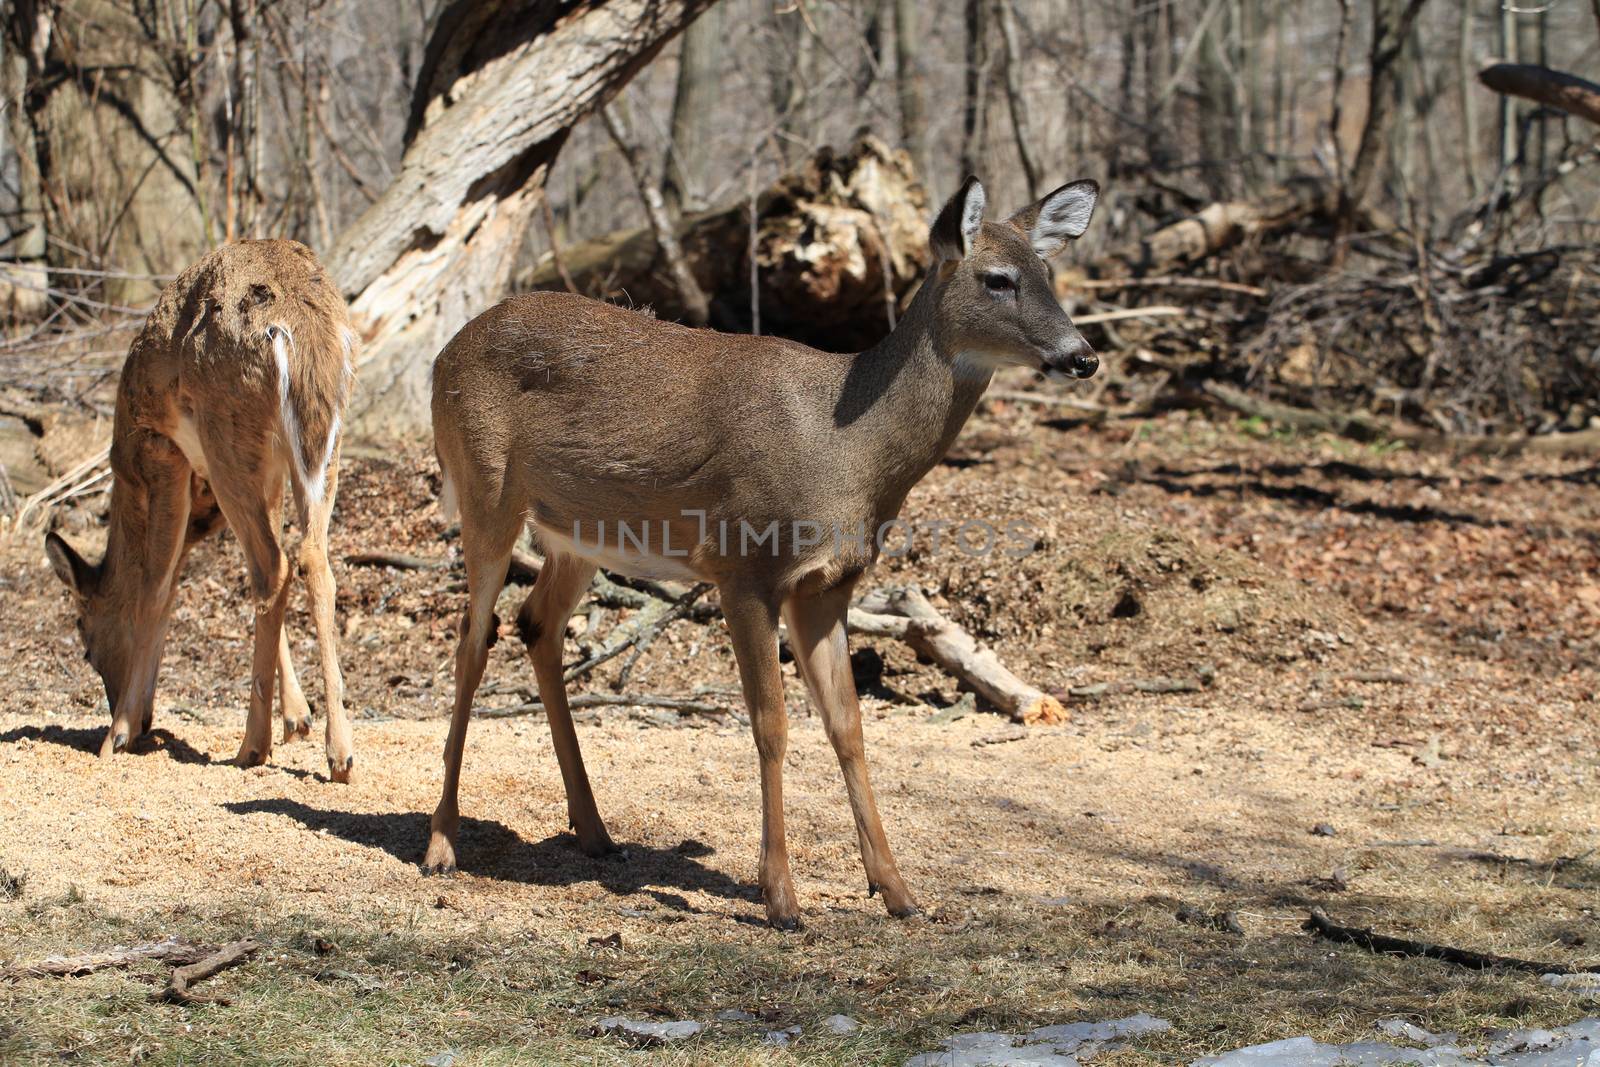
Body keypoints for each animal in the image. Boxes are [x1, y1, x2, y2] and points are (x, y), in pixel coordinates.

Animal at [45, 239, 358, 783]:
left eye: (84, 638)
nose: (134, 715)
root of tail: (300, 329)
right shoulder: (265, 473)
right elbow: (181, 585)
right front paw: (297, 717)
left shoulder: (161, 451)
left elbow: (155, 588)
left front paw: (117, 736)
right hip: (315, 443)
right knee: (308, 559)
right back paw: (338, 754)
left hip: (226, 433)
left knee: (273, 566)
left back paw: (252, 746)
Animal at [428, 175, 1100, 927]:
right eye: (998, 279)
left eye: (1049, 273)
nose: (1083, 355)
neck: (849, 449)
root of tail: (443, 355)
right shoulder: (744, 567)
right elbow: (771, 724)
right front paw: (780, 897)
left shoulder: (829, 585)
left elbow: (848, 724)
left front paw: (897, 890)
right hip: (484, 491)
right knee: (471, 639)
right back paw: (442, 842)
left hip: (577, 534)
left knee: (535, 625)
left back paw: (596, 832)